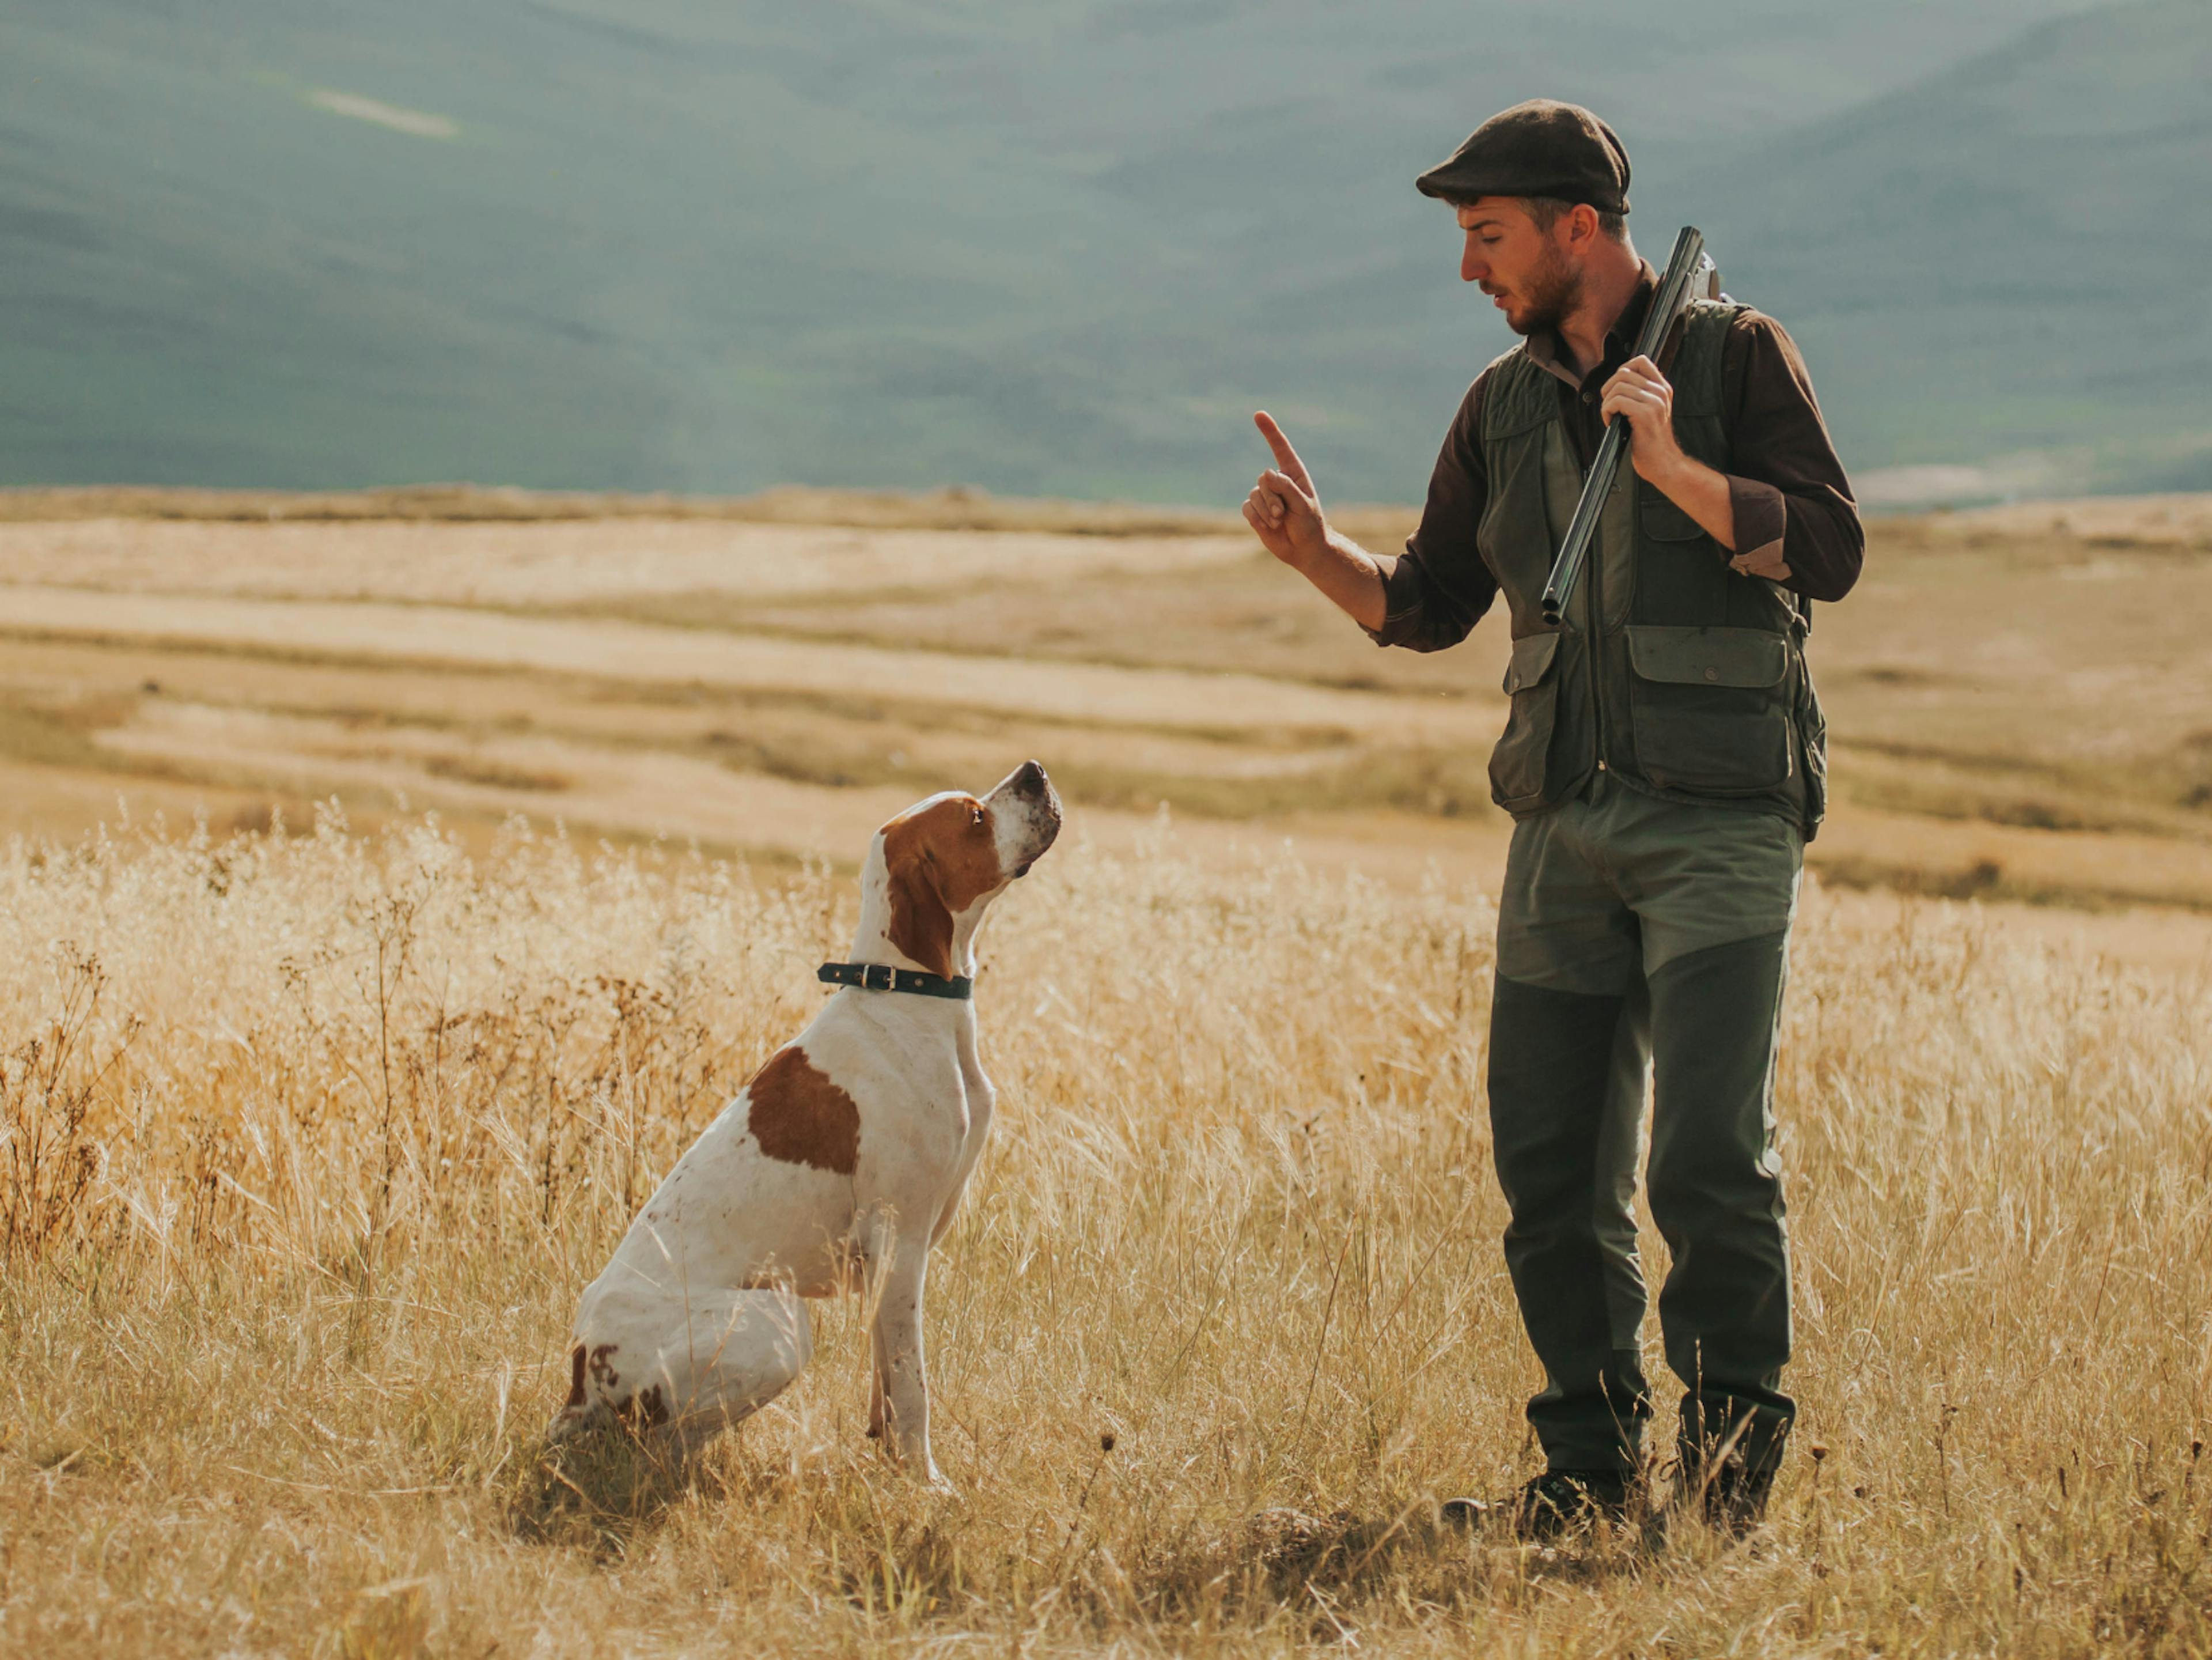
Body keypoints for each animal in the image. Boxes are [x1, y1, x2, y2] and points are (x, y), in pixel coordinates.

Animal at [546, 761, 1062, 1487]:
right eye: (974, 817)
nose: (1033, 771)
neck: (907, 993)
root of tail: (580, 1370)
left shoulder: (896, 1258)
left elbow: (884, 1371)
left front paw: (886, 1454)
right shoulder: (901, 1240)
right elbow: (912, 1380)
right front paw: (924, 1480)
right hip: (781, 1319)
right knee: (660, 1448)